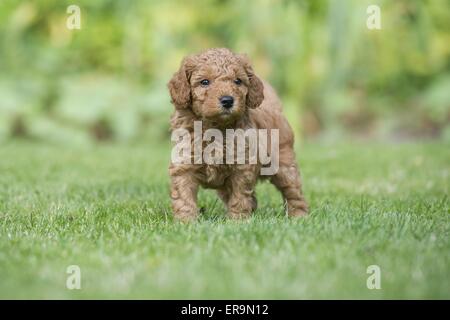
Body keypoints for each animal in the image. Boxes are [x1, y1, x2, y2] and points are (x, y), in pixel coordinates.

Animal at [167, 47, 308, 221]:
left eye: (238, 81)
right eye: (204, 82)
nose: (227, 100)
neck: (215, 128)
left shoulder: (242, 167)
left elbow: (240, 197)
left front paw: (238, 221)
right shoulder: (184, 165)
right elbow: (184, 197)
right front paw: (186, 222)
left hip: (284, 164)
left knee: (293, 191)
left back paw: (298, 216)